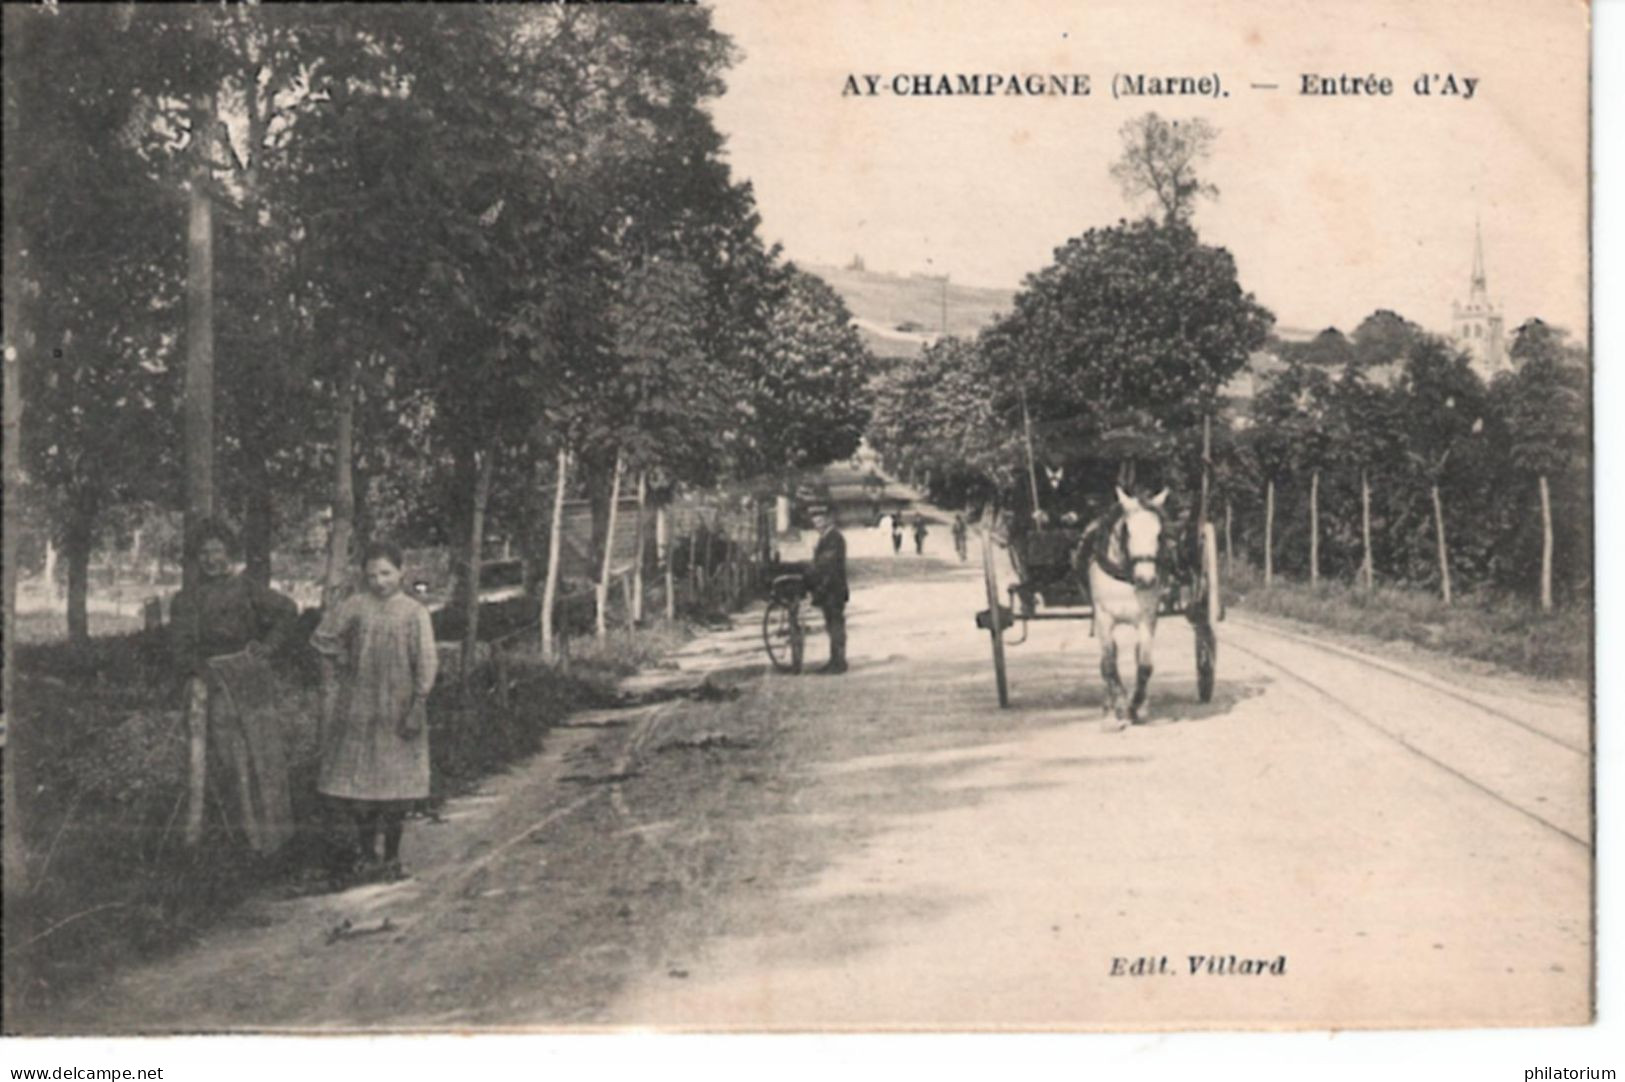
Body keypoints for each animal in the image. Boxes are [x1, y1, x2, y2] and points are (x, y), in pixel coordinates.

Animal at [1079, 487, 1170, 734]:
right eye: (1127, 530)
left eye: (1160, 533)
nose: (1146, 579)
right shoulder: (1103, 618)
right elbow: (1109, 664)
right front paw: (1119, 707)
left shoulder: (1147, 618)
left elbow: (1144, 665)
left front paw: (1135, 706)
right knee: (1107, 661)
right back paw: (1109, 710)